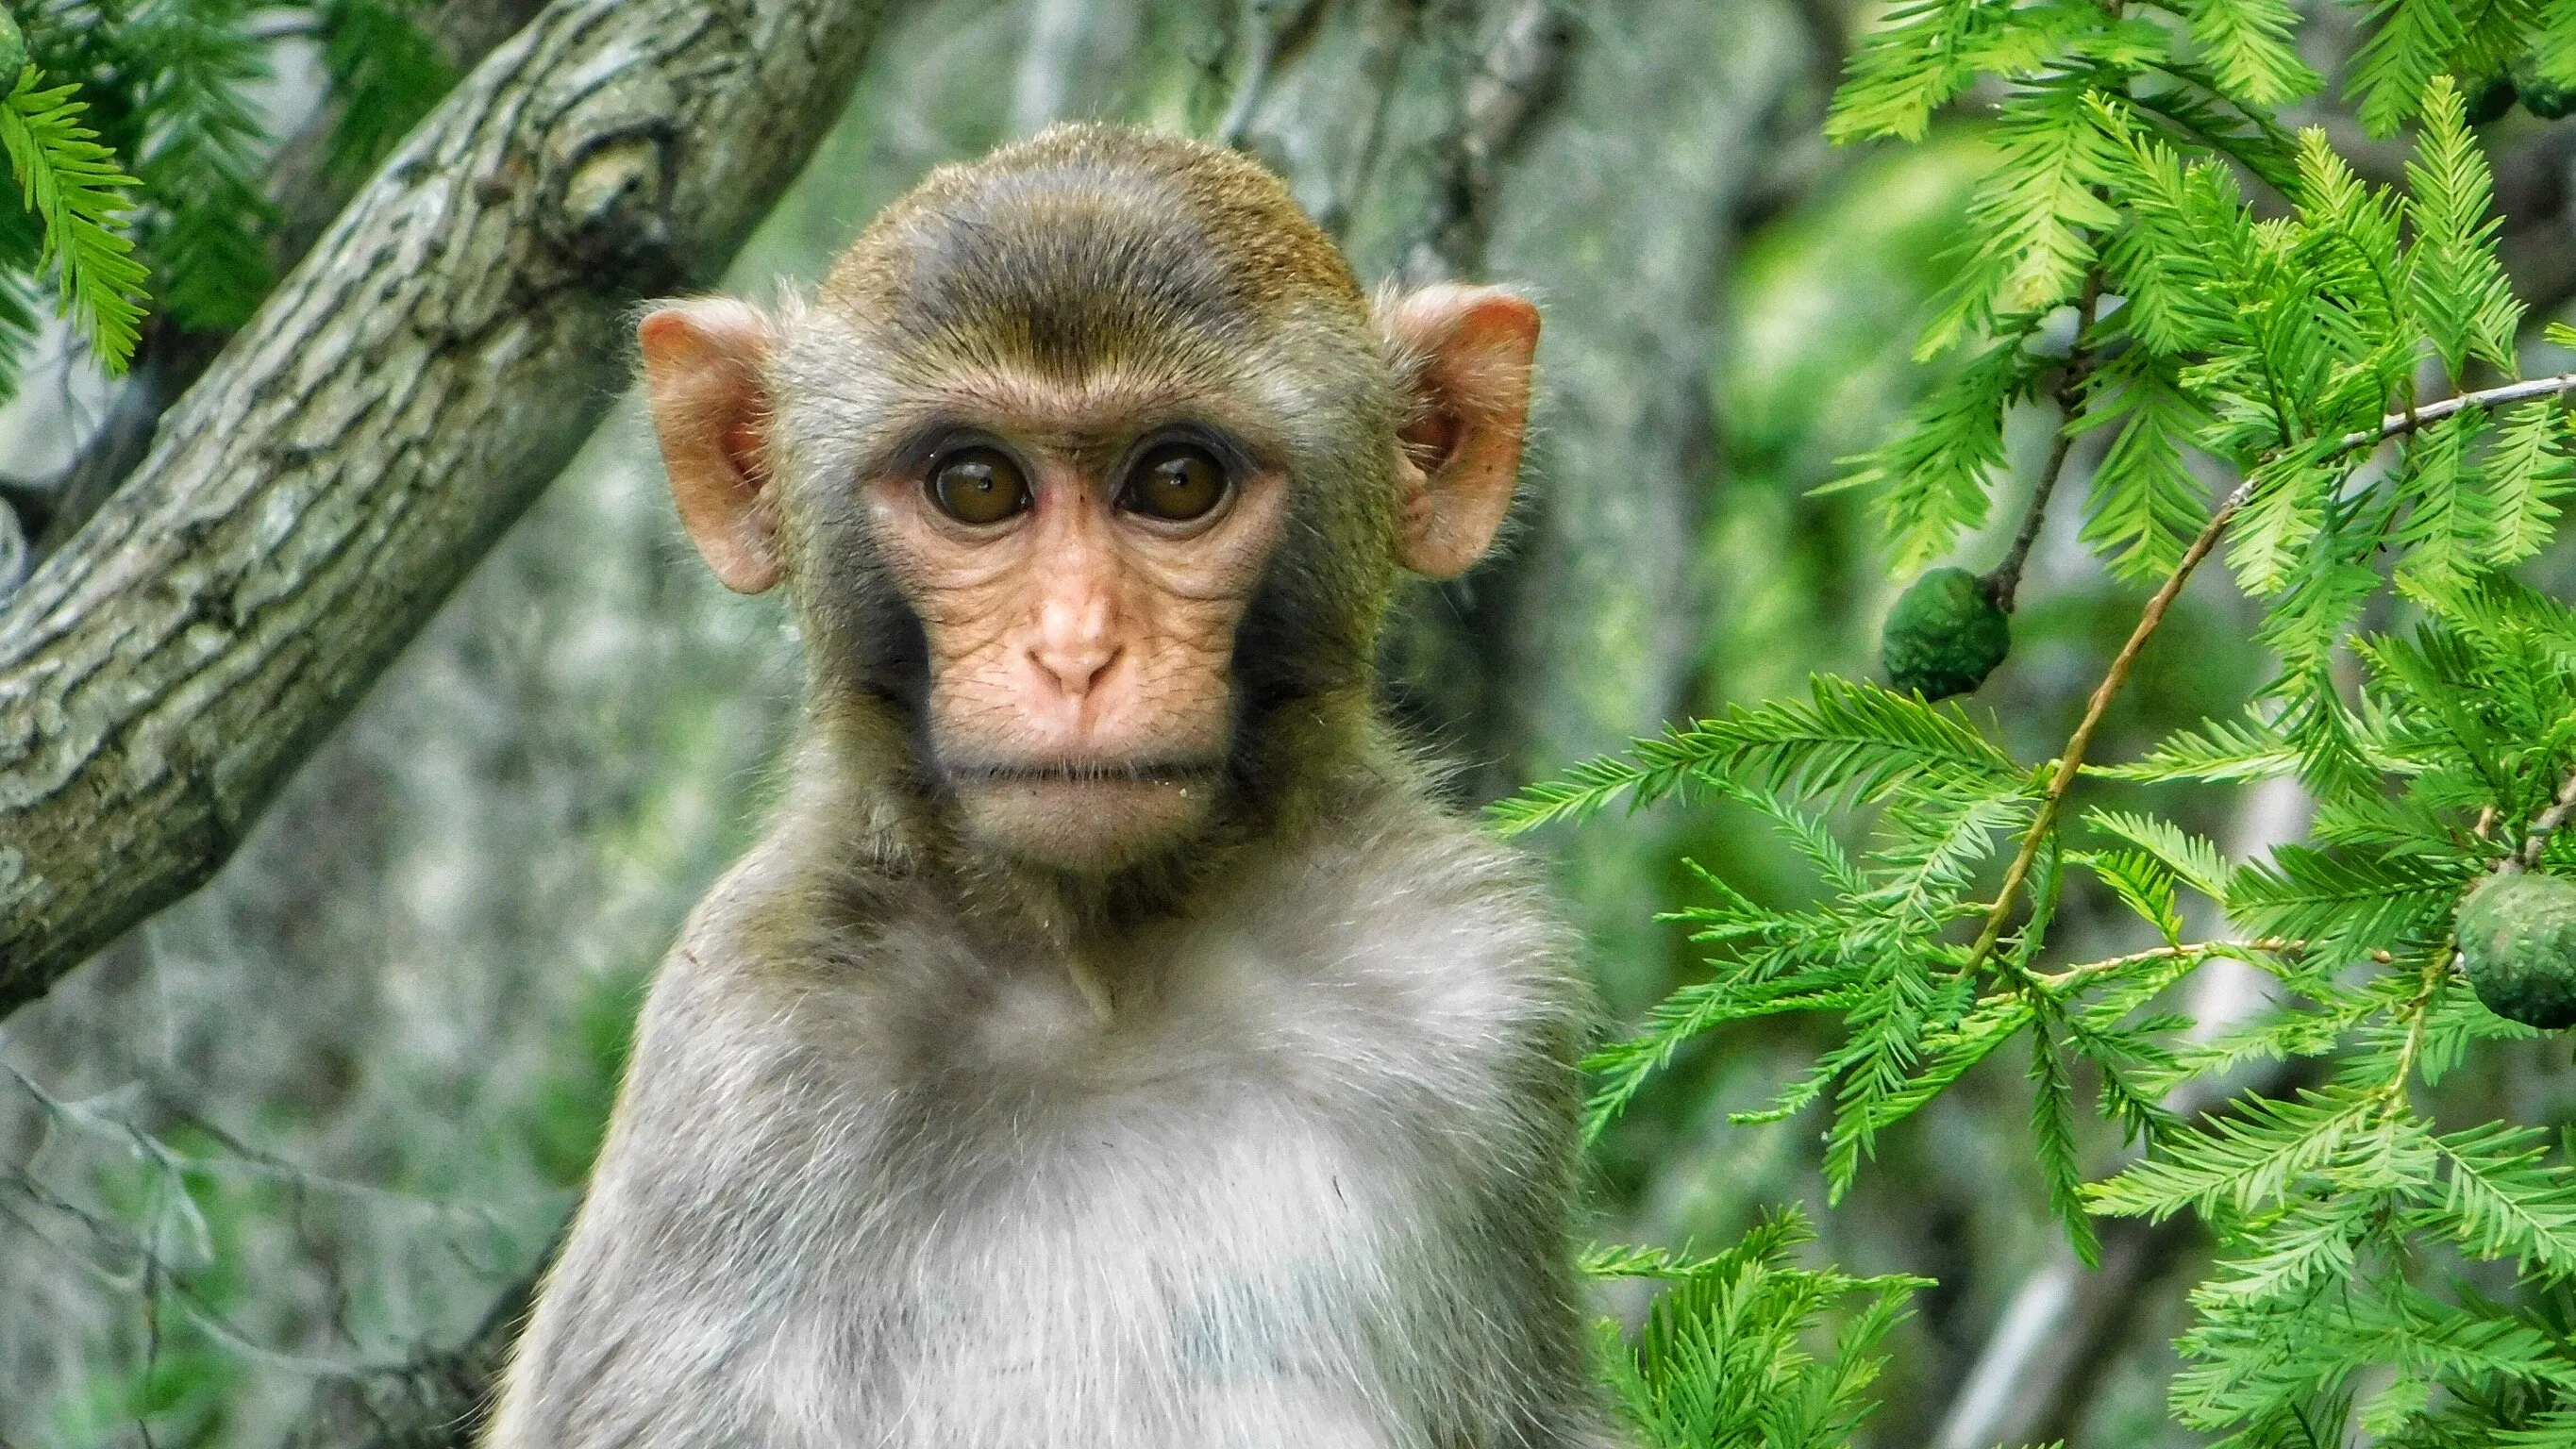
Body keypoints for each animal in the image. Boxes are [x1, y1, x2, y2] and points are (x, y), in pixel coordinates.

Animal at [482, 122, 1614, 1449]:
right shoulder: (745, 1047)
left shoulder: (1477, 994)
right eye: (977, 486)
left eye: (1176, 481)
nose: (1076, 652)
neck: (1099, 968)